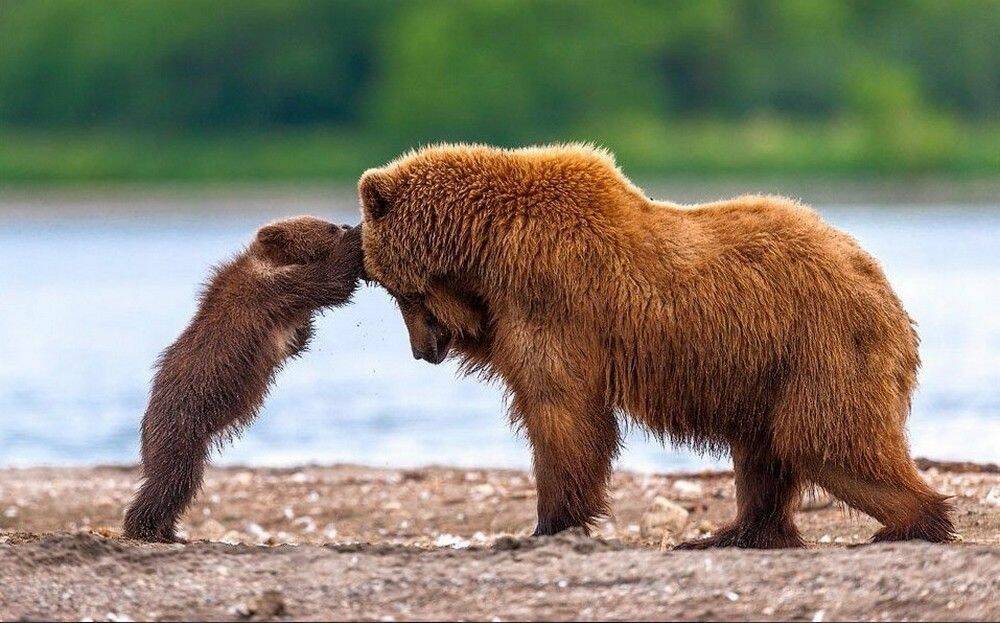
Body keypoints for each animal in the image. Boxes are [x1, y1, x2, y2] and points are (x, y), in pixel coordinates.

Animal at [358, 144, 952, 548]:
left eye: (394, 289)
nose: (422, 349)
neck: (485, 245)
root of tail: (886, 291)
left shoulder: (549, 296)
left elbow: (561, 411)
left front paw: (550, 522)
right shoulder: (512, 306)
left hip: (821, 347)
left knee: (828, 441)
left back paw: (912, 522)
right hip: (769, 368)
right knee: (765, 452)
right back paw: (732, 532)